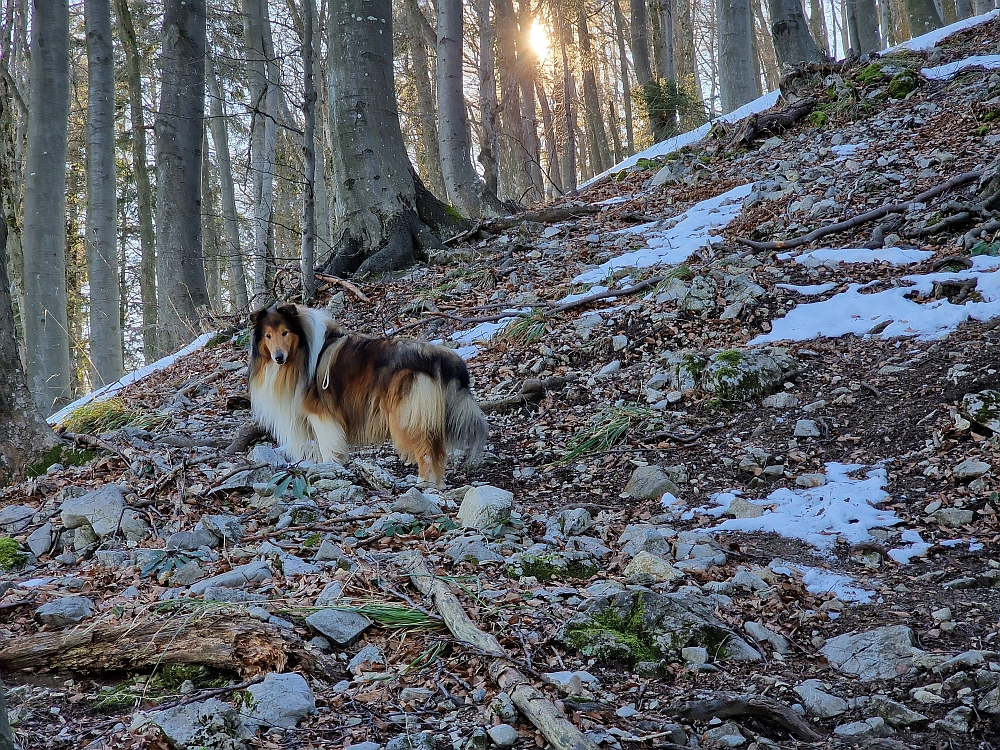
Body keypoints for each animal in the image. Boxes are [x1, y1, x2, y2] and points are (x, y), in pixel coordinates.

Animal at [248, 306, 486, 488]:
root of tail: (438, 356)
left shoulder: (321, 415)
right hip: (426, 417)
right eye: (268, 335)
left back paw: (423, 484)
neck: (304, 351)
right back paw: (437, 485)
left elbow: (327, 448)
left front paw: (329, 468)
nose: (278, 357)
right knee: (438, 452)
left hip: (406, 418)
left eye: (285, 332)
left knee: (425, 452)